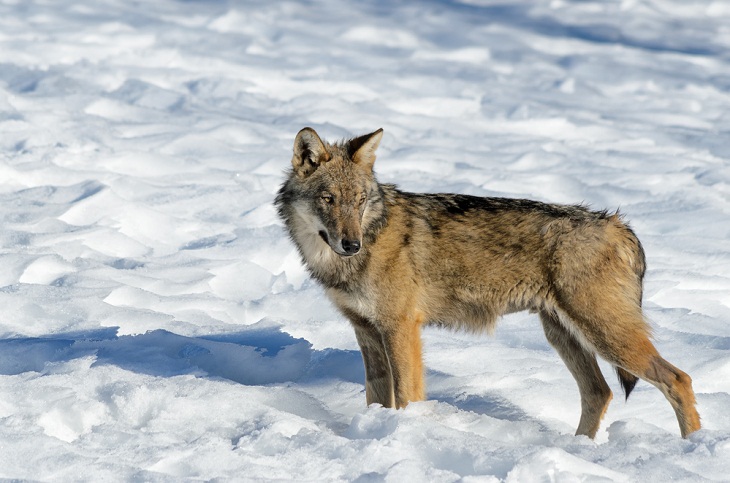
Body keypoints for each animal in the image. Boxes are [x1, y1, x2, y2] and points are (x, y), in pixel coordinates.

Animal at [272, 127, 700, 438]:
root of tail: (618, 224)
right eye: (328, 199)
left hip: (605, 335)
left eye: (360, 200)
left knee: (678, 379)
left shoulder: (400, 328)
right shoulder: (366, 331)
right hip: (563, 334)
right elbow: (377, 399)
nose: (351, 244)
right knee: (600, 392)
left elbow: (408, 395)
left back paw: (691, 448)